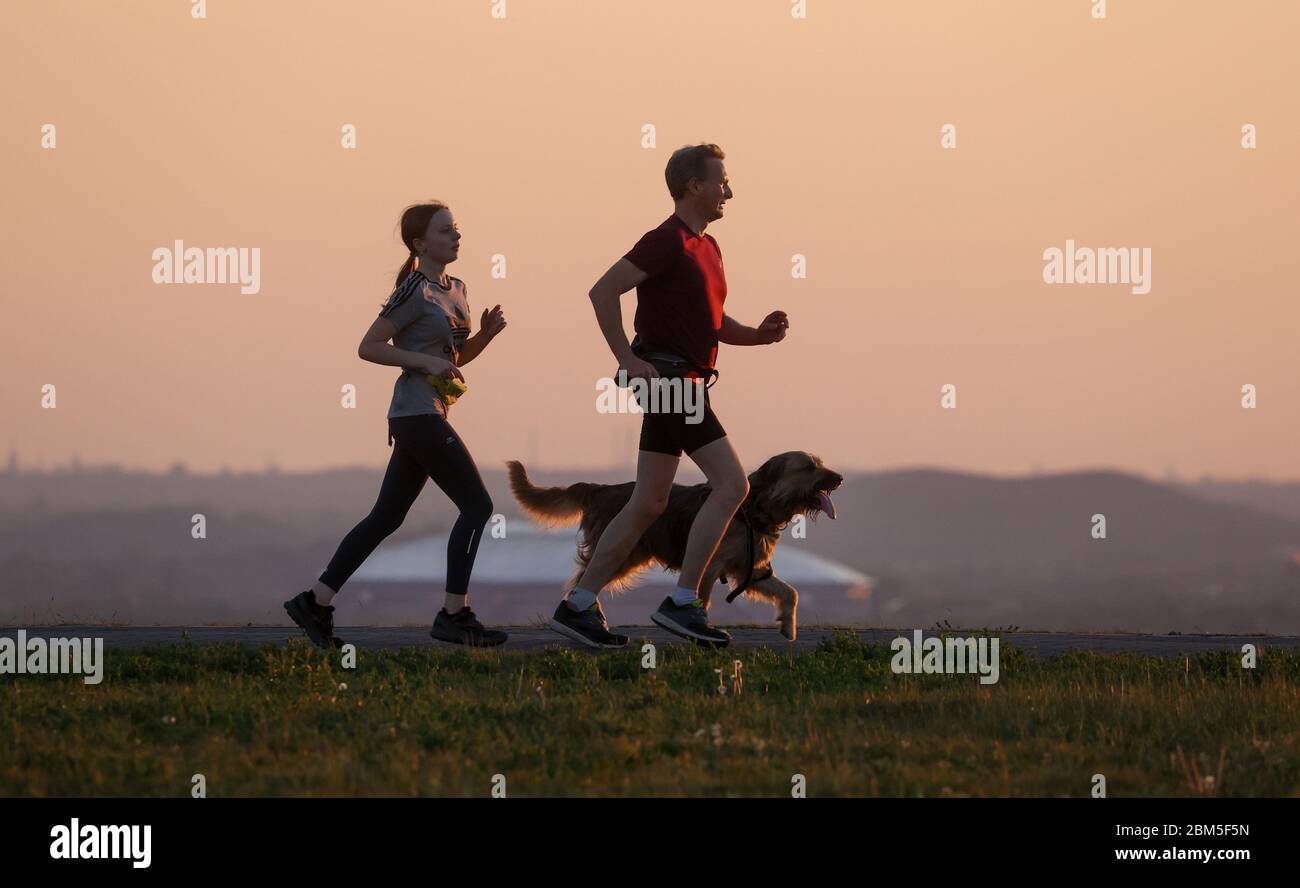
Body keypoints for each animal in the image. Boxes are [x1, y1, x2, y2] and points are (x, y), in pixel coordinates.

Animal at [506, 452, 842, 639]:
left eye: (820, 463)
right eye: (809, 467)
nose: (839, 477)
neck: (754, 507)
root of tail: (599, 488)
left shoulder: (751, 571)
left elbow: (790, 592)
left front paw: (788, 625)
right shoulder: (711, 566)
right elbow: (703, 600)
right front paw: (696, 628)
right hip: (623, 552)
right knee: (583, 578)